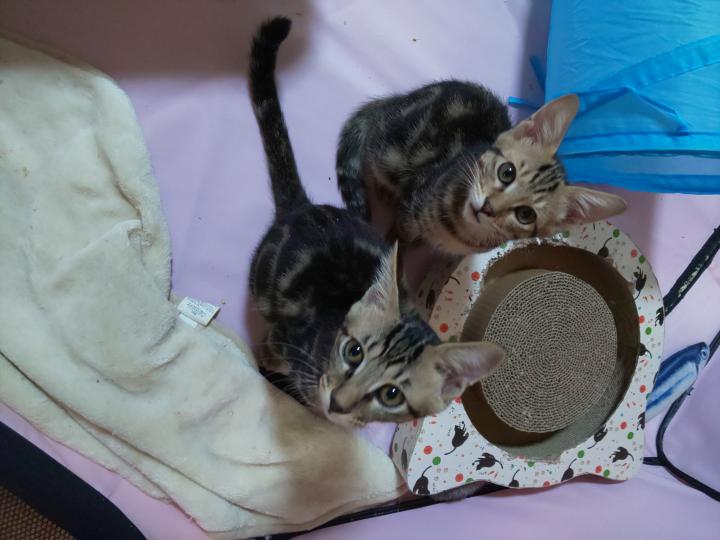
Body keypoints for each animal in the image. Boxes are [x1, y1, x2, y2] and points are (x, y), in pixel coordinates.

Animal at [247, 17, 504, 428]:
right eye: (353, 352)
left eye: (391, 394)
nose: (337, 402)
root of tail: (304, 207)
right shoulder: (281, 341)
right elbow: (269, 357)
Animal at [336, 81, 627, 255]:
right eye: (507, 172)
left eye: (526, 215)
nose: (487, 207)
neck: (458, 232)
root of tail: (397, 101)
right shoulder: (414, 201)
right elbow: (402, 234)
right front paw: (395, 247)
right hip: (388, 153)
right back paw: (384, 190)